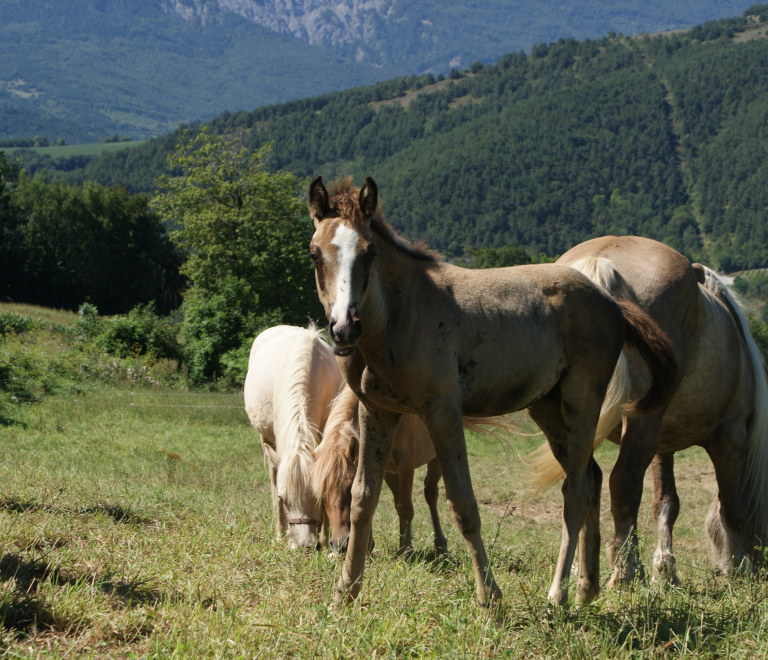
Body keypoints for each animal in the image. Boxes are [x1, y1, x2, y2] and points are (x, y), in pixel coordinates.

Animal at [312, 382, 520, 556]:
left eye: (349, 487)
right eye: (321, 493)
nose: (339, 544)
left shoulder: (406, 461)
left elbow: (405, 507)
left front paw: (406, 549)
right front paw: (367, 547)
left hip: (436, 458)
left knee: (430, 494)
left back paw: (440, 546)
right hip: (391, 472)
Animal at [528, 235, 768, 584]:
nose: (760, 566)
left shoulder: (662, 445)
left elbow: (666, 503)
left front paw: (665, 570)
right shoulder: (731, 438)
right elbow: (732, 507)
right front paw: (741, 564)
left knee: (583, 482)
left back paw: (583, 568)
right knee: (623, 483)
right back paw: (625, 572)